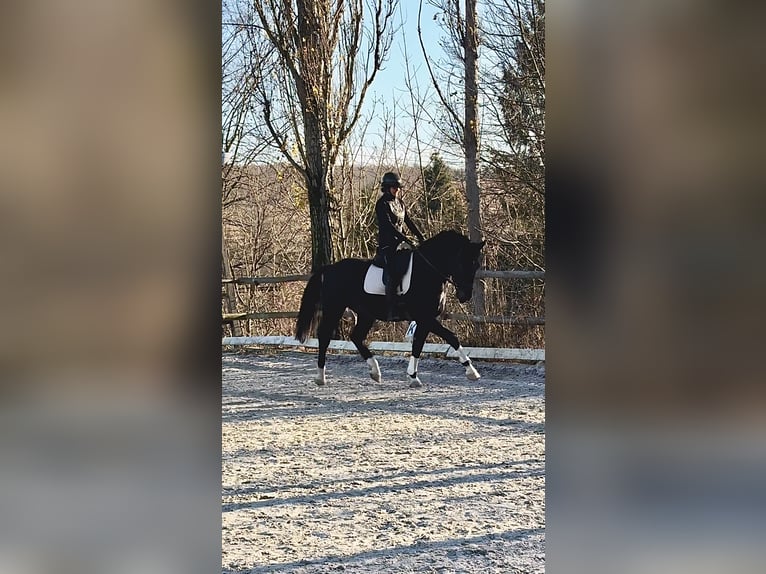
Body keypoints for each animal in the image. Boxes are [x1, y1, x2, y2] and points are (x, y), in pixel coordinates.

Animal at [294, 230, 486, 387]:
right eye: (463, 262)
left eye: (476, 265)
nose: (464, 296)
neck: (427, 271)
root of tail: (330, 268)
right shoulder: (424, 317)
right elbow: (451, 337)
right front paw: (472, 372)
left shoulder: (426, 319)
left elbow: (418, 344)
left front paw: (413, 377)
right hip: (334, 308)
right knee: (324, 336)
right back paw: (320, 377)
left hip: (366, 314)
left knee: (356, 337)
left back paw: (375, 372)